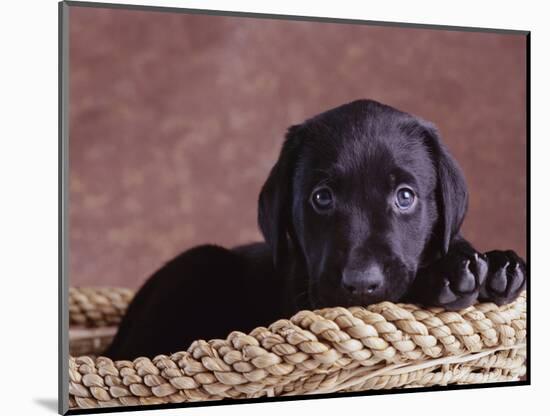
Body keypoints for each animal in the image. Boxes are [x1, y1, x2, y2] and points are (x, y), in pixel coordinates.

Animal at [104, 99, 532, 360]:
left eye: (405, 196)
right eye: (322, 197)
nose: (361, 284)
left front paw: (495, 265)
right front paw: (451, 273)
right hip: (199, 261)